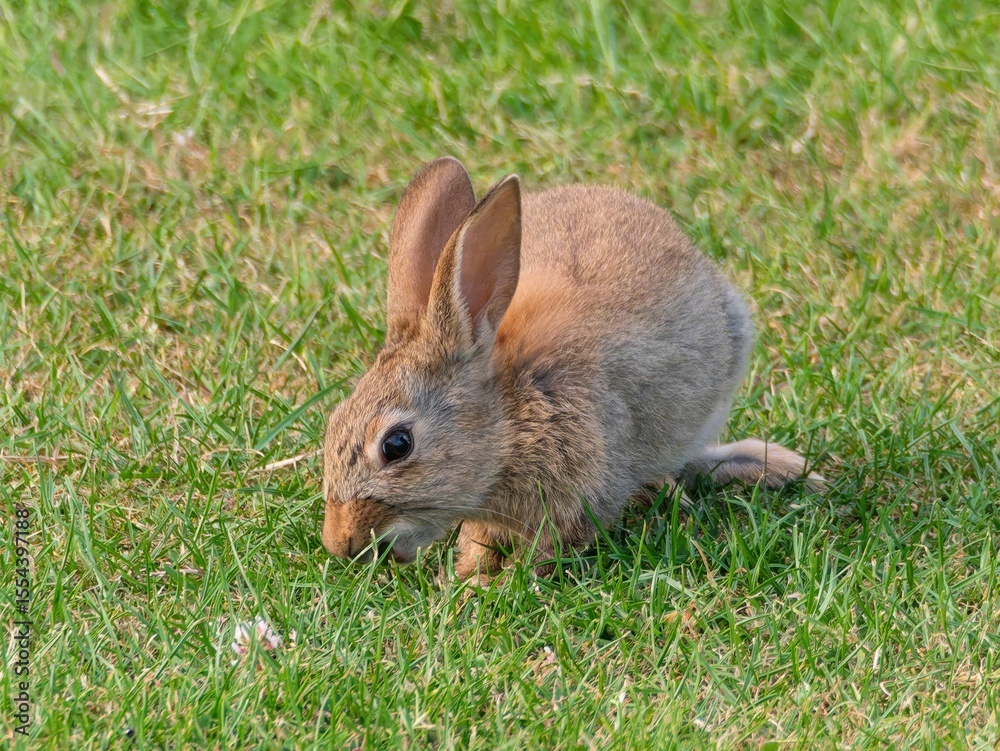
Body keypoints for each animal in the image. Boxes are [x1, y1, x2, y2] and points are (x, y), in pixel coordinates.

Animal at [321, 156, 822, 580]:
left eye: (397, 445)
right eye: (331, 423)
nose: (338, 542)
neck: (508, 426)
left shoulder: (586, 488)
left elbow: (552, 544)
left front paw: (495, 580)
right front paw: (471, 572)